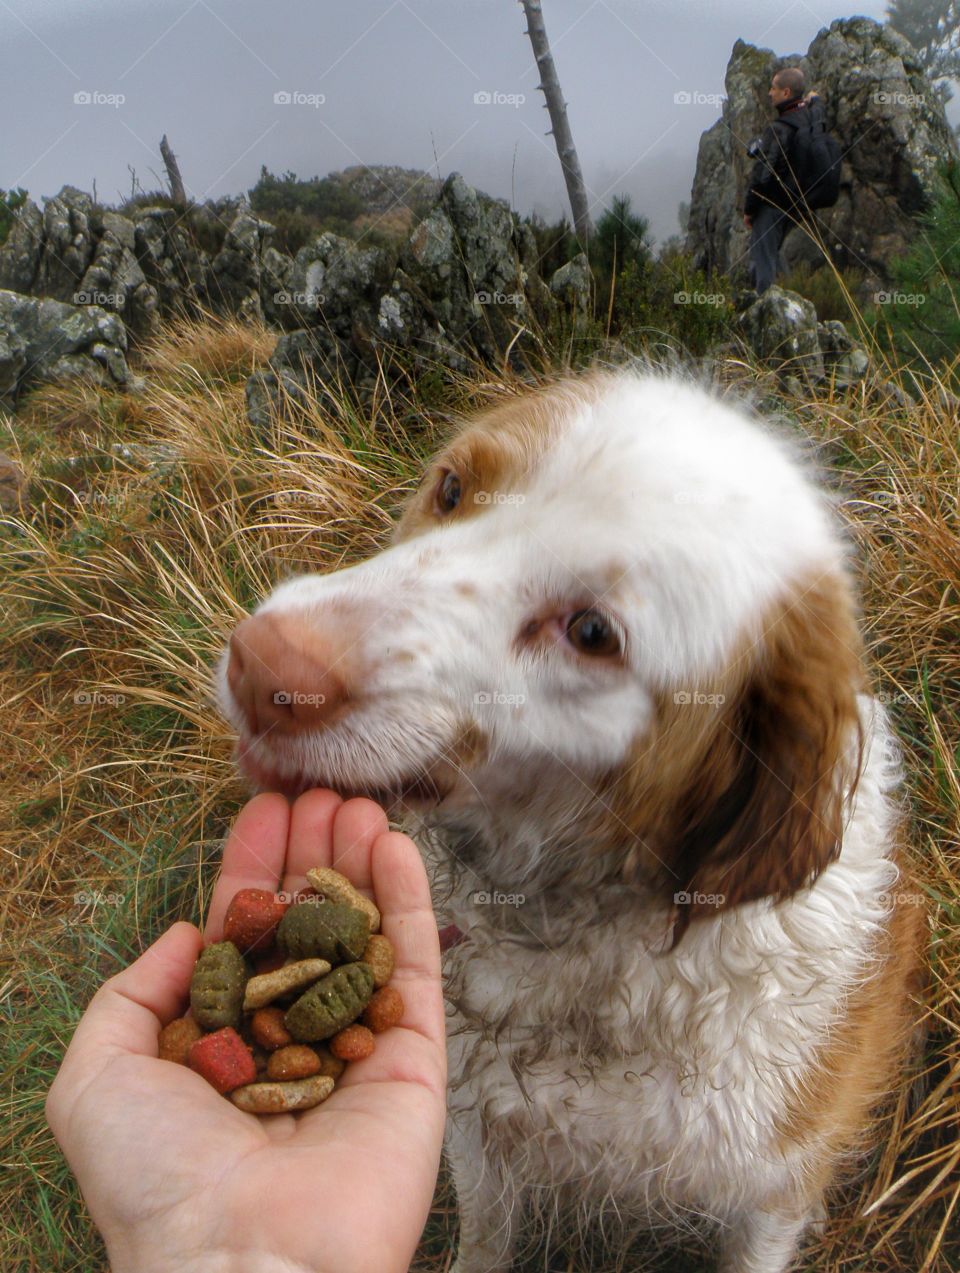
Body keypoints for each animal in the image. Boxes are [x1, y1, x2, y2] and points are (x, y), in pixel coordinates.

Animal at [215, 371, 921, 1273]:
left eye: (592, 632)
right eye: (453, 488)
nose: (260, 664)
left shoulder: (775, 1187)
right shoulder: (478, 1126)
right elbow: (486, 1234)